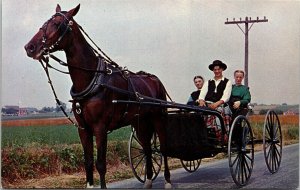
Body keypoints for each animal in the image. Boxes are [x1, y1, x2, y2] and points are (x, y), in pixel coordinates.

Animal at [25, 4, 173, 189]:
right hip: (140, 122)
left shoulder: (100, 127)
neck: (92, 79)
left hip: (158, 118)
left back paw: (167, 180)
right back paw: (148, 180)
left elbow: (100, 164)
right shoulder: (83, 129)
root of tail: (154, 79)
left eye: (57, 24)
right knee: (147, 148)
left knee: (163, 148)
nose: (30, 47)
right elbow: (88, 162)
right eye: (45, 21)